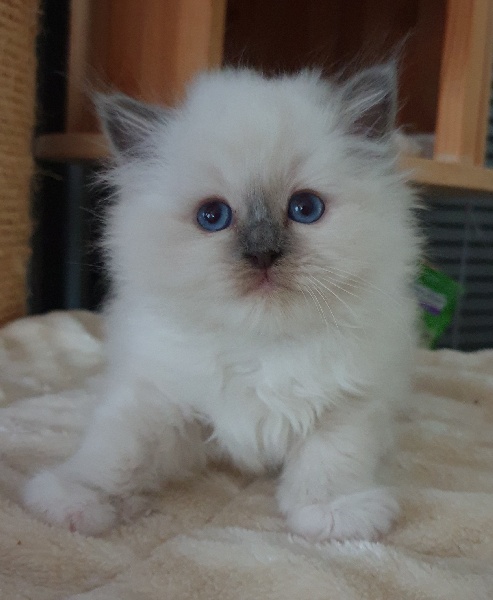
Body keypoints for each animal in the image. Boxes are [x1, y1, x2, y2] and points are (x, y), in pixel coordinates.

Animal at [23, 64, 418, 540]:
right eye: (213, 217)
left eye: (305, 208)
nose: (263, 254)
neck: (260, 348)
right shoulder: (157, 399)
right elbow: (114, 454)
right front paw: (74, 500)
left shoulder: (352, 404)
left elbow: (331, 462)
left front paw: (335, 514)